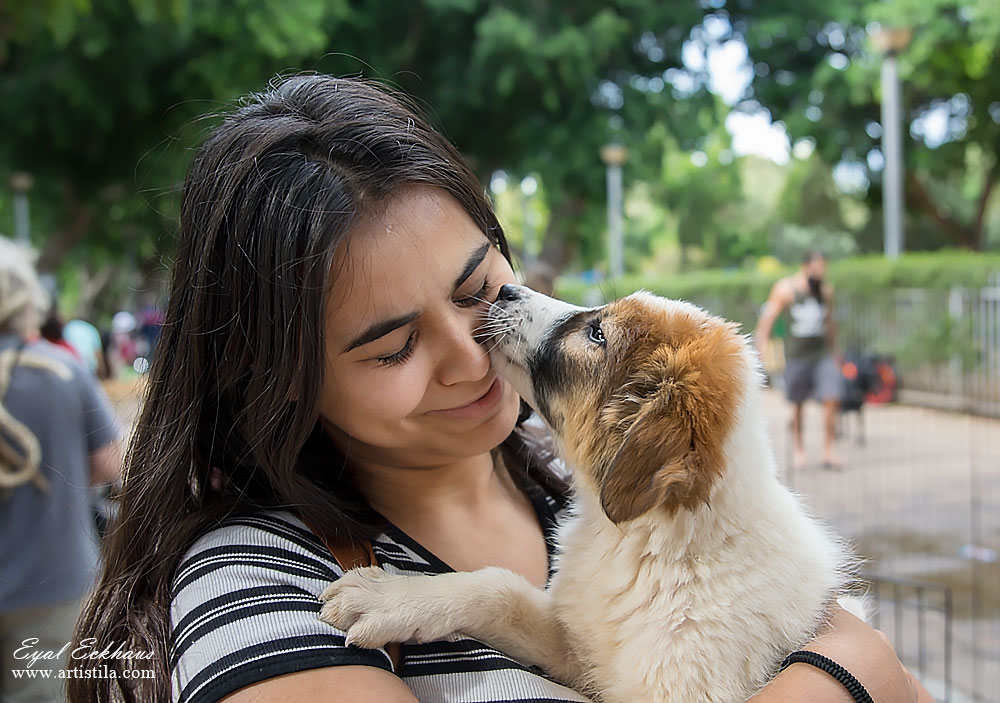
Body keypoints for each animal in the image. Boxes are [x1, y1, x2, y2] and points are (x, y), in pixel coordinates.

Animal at [322, 286, 860, 703]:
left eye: (597, 335)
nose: (503, 290)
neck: (652, 538)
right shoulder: (578, 647)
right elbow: (499, 588)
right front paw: (389, 598)